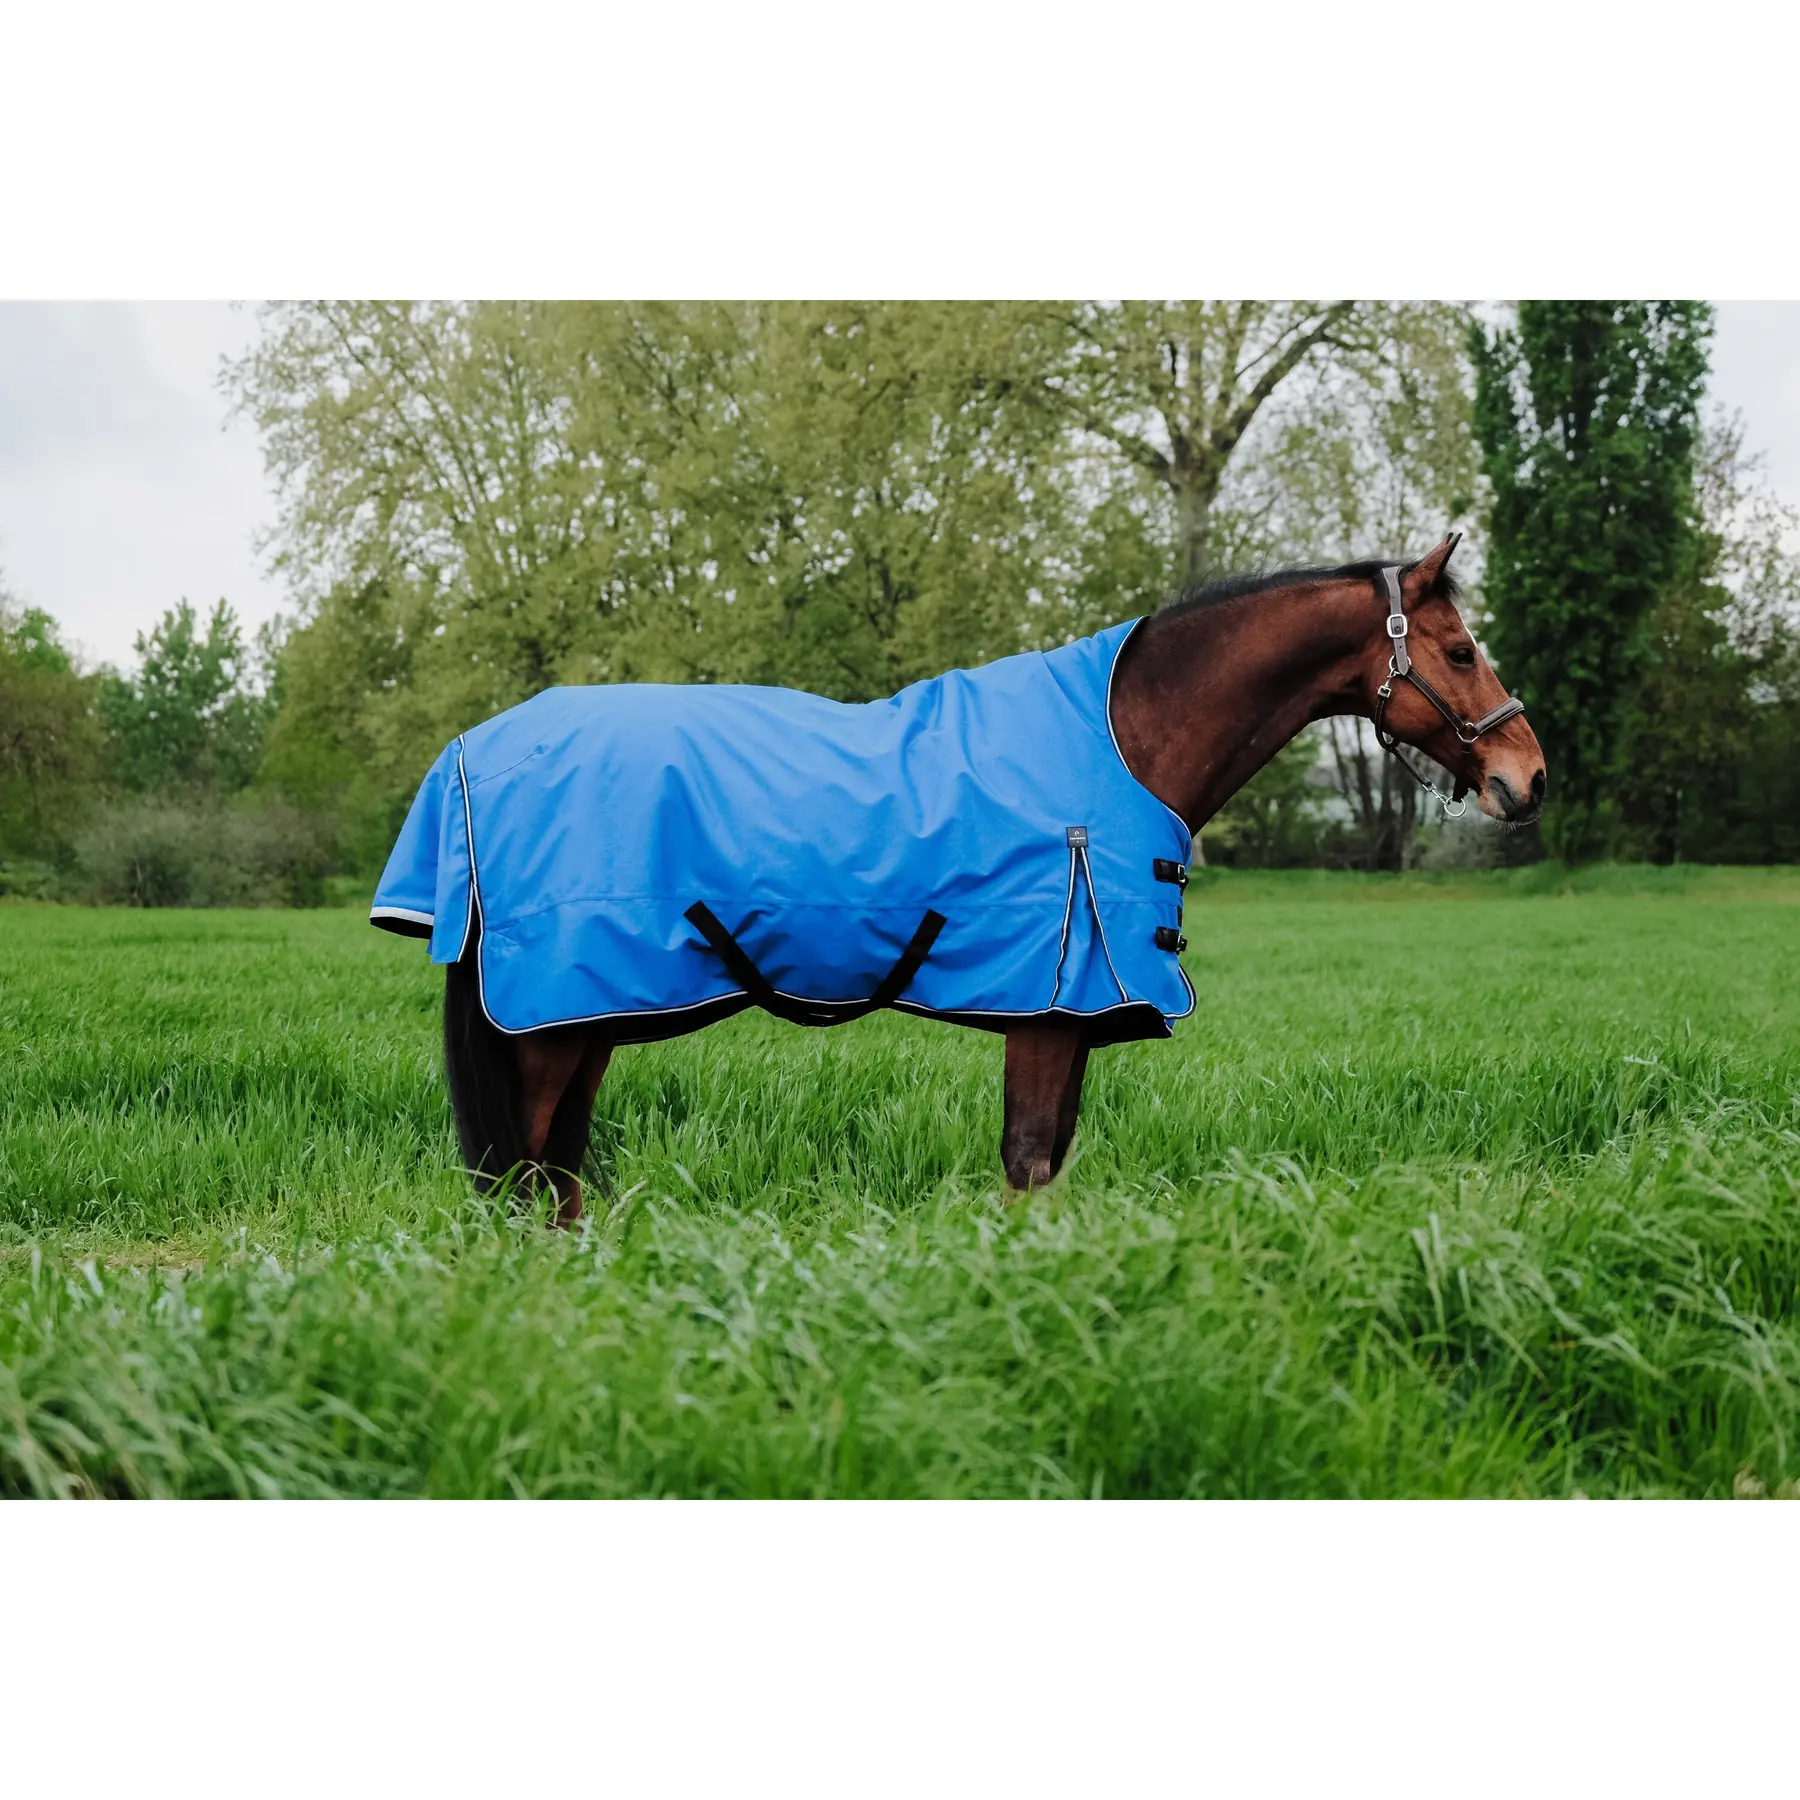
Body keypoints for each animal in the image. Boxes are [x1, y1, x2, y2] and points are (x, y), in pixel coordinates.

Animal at [372, 534, 1544, 1223]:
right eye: (1461, 647)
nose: (1524, 777)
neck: (1124, 737)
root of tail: (474, 749)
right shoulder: (1052, 1009)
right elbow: (1028, 1163)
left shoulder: (1068, 1019)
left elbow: (1048, 1164)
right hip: (553, 1022)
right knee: (530, 1172)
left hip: (585, 1022)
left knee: (555, 1175)